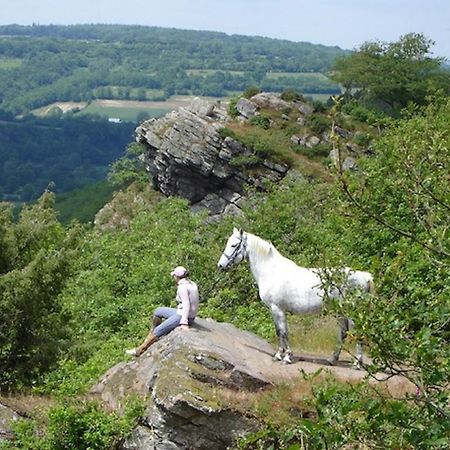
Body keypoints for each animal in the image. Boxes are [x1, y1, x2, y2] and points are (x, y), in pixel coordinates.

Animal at [216, 229, 374, 366]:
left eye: (234, 245)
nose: (221, 265)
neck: (271, 271)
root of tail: (364, 276)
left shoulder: (277, 309)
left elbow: (283, 332)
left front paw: (285, 357)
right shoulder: (277, 310)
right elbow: (280, 331)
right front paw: (280, 355)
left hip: (351, 311)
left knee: (355, 332)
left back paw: (357, 363)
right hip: (340, 312)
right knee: (343, 333)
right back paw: (332, 359)